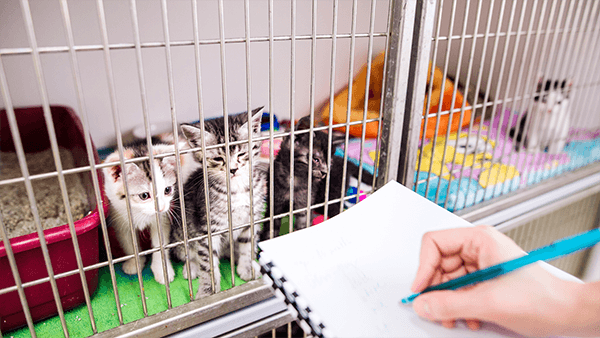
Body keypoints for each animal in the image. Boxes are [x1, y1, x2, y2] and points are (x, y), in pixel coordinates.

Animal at [103, 143, 183, 286]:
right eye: (144, 195)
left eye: (167, 190)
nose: (161, 208)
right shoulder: (119, 217)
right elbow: (128, 242)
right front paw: (134, 263)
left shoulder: (162, 219)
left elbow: (160, 244)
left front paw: (162, 270)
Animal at [172, 107, 268, 298]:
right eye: (218, 159)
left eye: (241, 154)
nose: (233, 169)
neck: (237, 189)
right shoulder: (208, 228)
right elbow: (207, 262)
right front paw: (207, 289)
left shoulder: (251, 218)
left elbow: (247, 244)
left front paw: (247, 267)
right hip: (182, 230)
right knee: (187, 253)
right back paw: (191, 267)